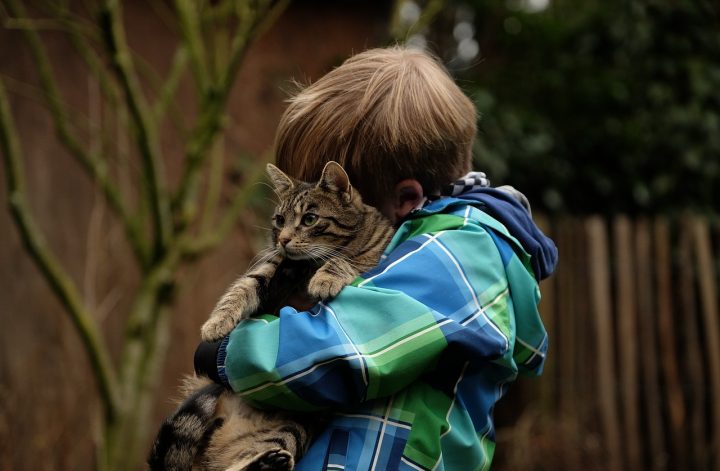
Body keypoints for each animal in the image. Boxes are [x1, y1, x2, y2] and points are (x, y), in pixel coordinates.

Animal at [148, 160, 394, 470]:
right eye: (279, 219)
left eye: (309, 219)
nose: (283, 239)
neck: (307, 266)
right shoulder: (270, 267)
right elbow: (241, 289)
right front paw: (216, 323)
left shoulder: (369, 258)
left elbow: (345, 260)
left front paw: (326, 278)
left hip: (293, 428)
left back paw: (268, 462)